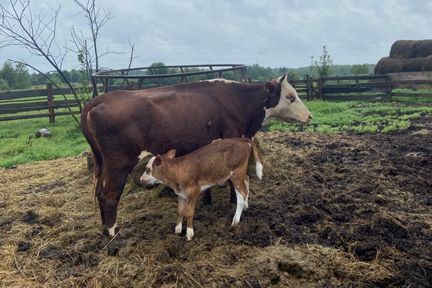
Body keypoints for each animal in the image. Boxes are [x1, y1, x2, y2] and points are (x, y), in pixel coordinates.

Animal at [80, 74, 310, 236]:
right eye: (290, 97)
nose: (309, 115)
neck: (239, 100)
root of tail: (99, 100)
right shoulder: (231, 139)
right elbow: (232, 182)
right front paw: (233, 202)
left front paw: (208, 200)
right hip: (118, 164)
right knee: (109, 196)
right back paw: (114, 233)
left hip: (103, 163)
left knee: (99, 192)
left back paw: (104, 229)